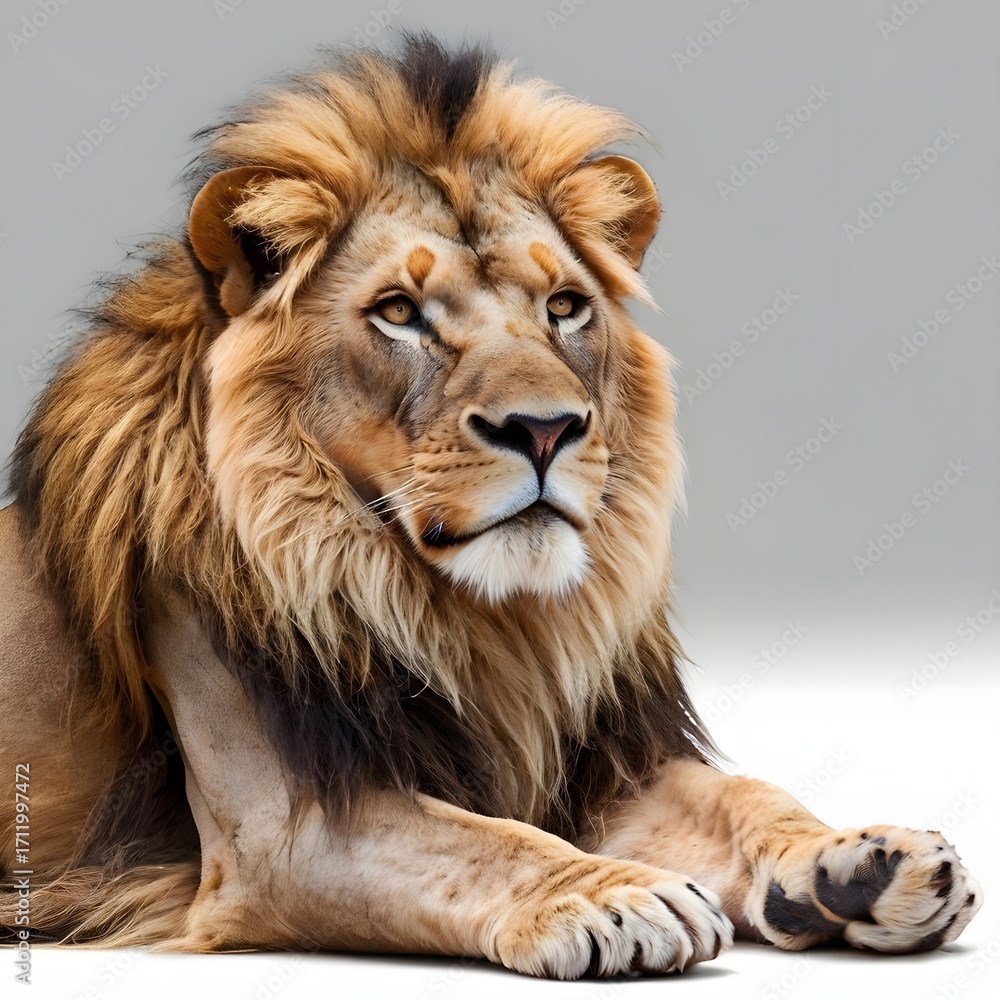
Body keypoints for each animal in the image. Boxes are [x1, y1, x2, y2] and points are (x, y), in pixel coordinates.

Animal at [0, 36, 982, 979]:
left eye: (566, 306)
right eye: (399, 312)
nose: (544, 429)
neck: (485, 623)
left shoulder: (597, 767)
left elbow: (742, 796)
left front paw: (859, 862)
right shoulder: (281, 828)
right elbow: (488, 843)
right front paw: (617, 895)